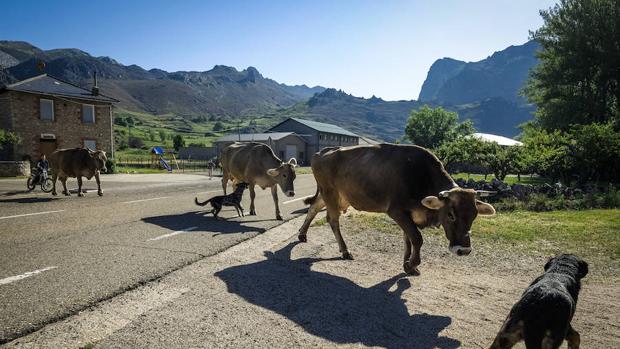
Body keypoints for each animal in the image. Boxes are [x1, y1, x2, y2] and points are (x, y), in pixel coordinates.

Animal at [298, 144, 496, 274]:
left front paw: (407, 264)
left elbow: (407, 239)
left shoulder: (409, 216)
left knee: (313, 208)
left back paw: (302, 234)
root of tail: (322, 151)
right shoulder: (397, 211)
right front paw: (412, 264)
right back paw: (345, 250)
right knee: (333, 220)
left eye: (474, 216)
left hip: (335, 195)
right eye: (450, 214)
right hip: (330, 192)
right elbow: (416, 238)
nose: (464, 250)